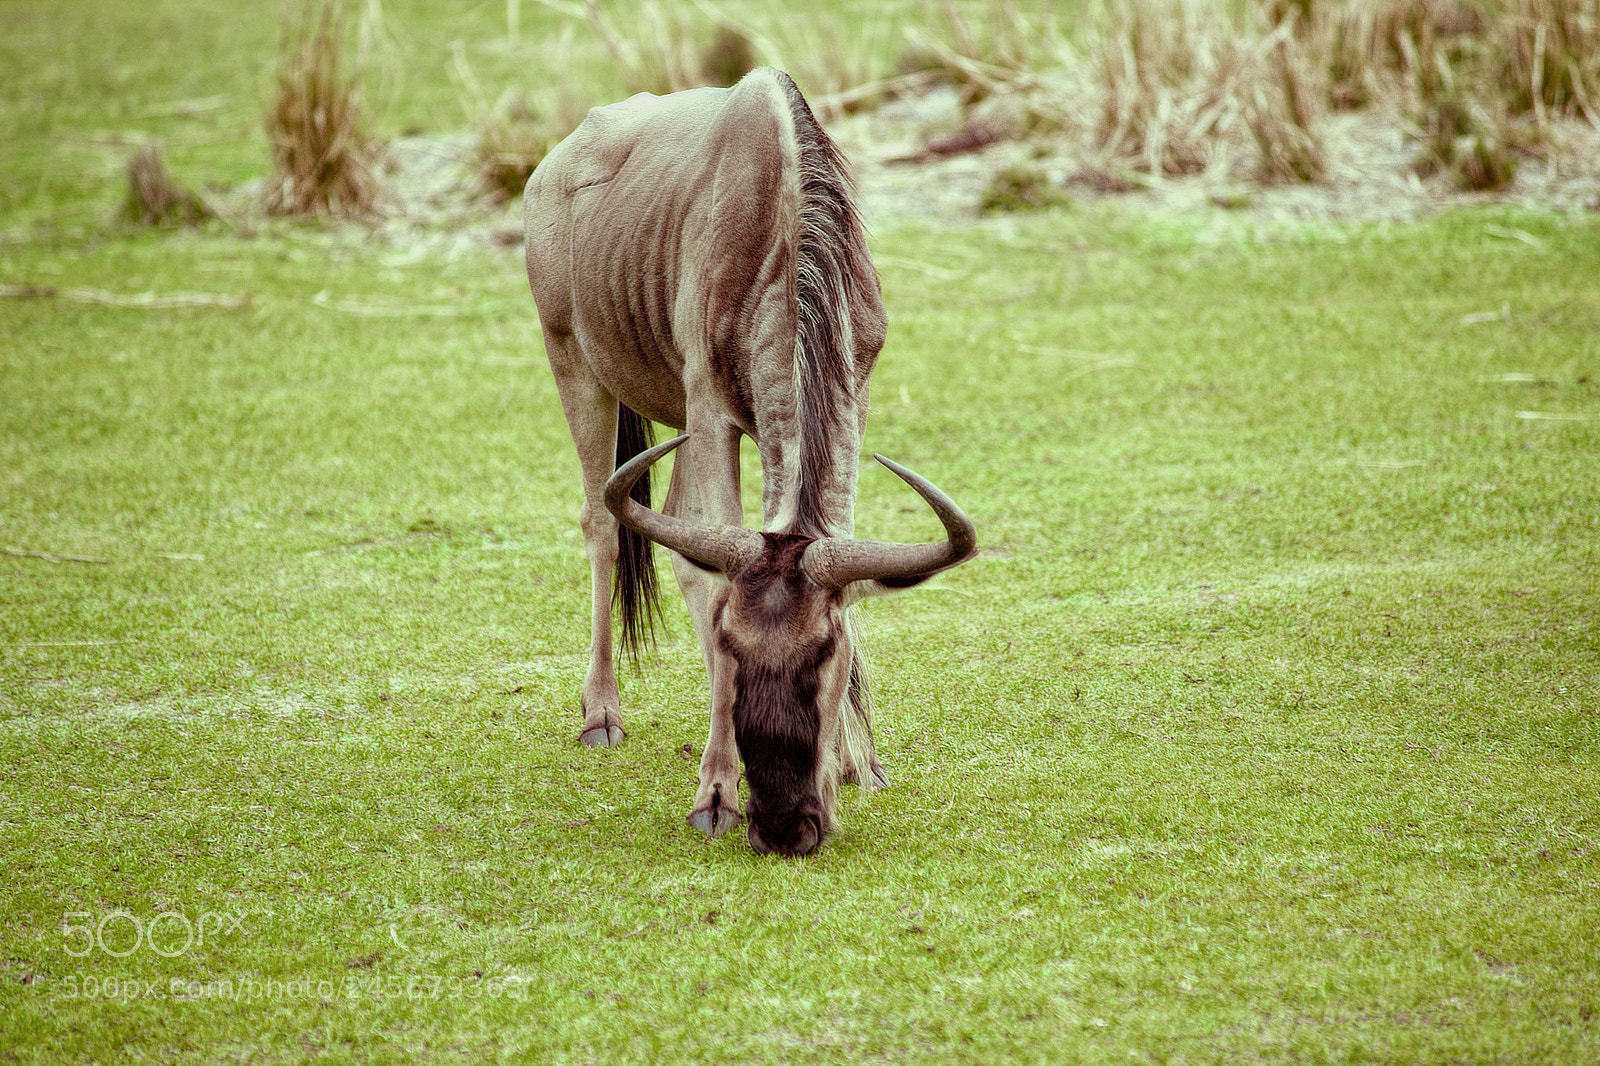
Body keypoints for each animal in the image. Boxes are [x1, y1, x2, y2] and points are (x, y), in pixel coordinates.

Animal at [523, 67, 975, 856]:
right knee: (602, 525)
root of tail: (552, 166)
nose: (785, 825)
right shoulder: (710, 408)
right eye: (731, 647)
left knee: (673, 528)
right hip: (575, 362)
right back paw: (601, 715)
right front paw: (715, 792)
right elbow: (706, 578)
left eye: (825, 651)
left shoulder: (852, 387)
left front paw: (860, 762)